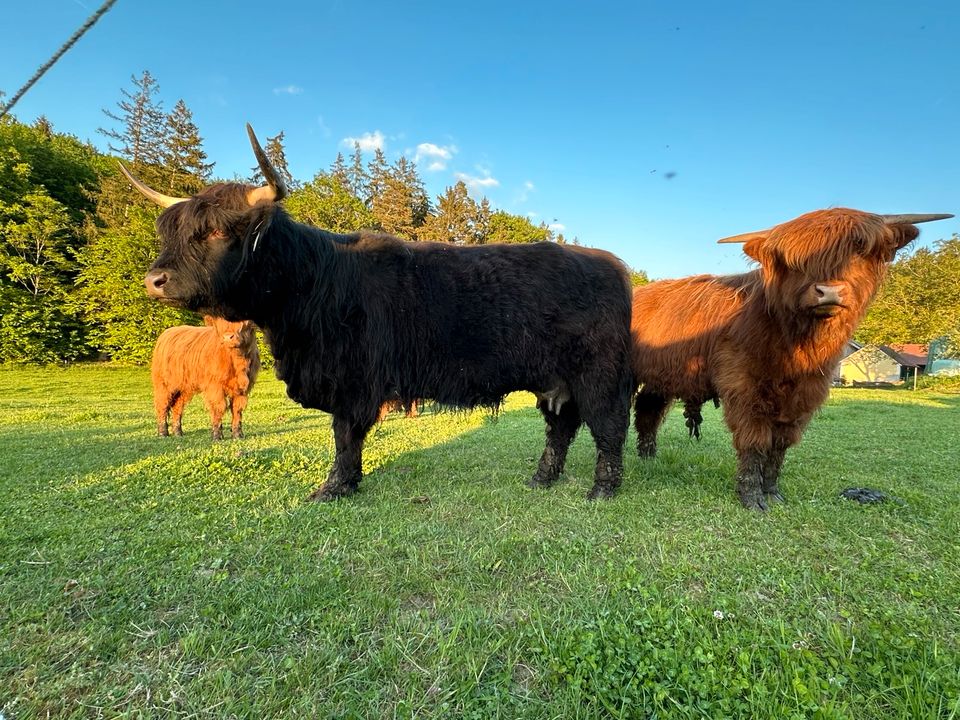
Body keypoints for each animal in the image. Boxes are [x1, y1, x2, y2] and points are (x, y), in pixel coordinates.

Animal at [124, 126, 640, 500]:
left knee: (608, 427)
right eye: (174, 231)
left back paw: (602, 489)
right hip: (556, 381)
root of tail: (612, 265)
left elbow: (345, 435)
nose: (155, 280)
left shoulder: (354, 380)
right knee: (561, 428)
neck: (314, 282)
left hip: (596, 374)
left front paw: (334, 488)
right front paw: (345, 483)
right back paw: (542, 479)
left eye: (215, 231)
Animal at [632, 208, 952, 512]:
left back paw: (649, 457)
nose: (829, 291)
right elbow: (754, 440)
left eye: (859, 249)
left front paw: (772, 494)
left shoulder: (806, 391)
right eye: (794, 260)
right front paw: (752, 499)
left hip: (661, 377)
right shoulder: (743, 386)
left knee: (648, 409)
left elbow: (780, 445)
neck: (797, 343)